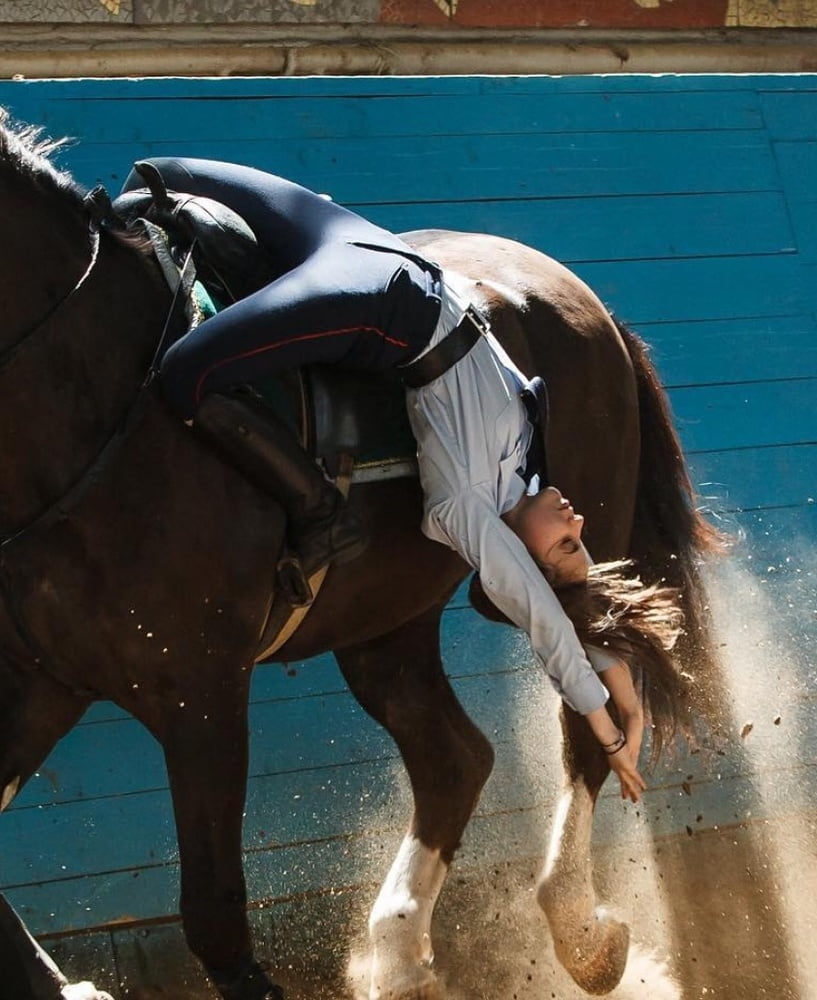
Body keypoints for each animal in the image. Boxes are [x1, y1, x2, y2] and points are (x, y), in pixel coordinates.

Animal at [0, 117, 712, 1000]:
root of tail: (587, 302)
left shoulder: (200, 692)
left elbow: (212, 909)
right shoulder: (46, 681)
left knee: (576, 730)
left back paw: (578, 932)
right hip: (383, 619)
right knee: (454, 758)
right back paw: (399, 956)